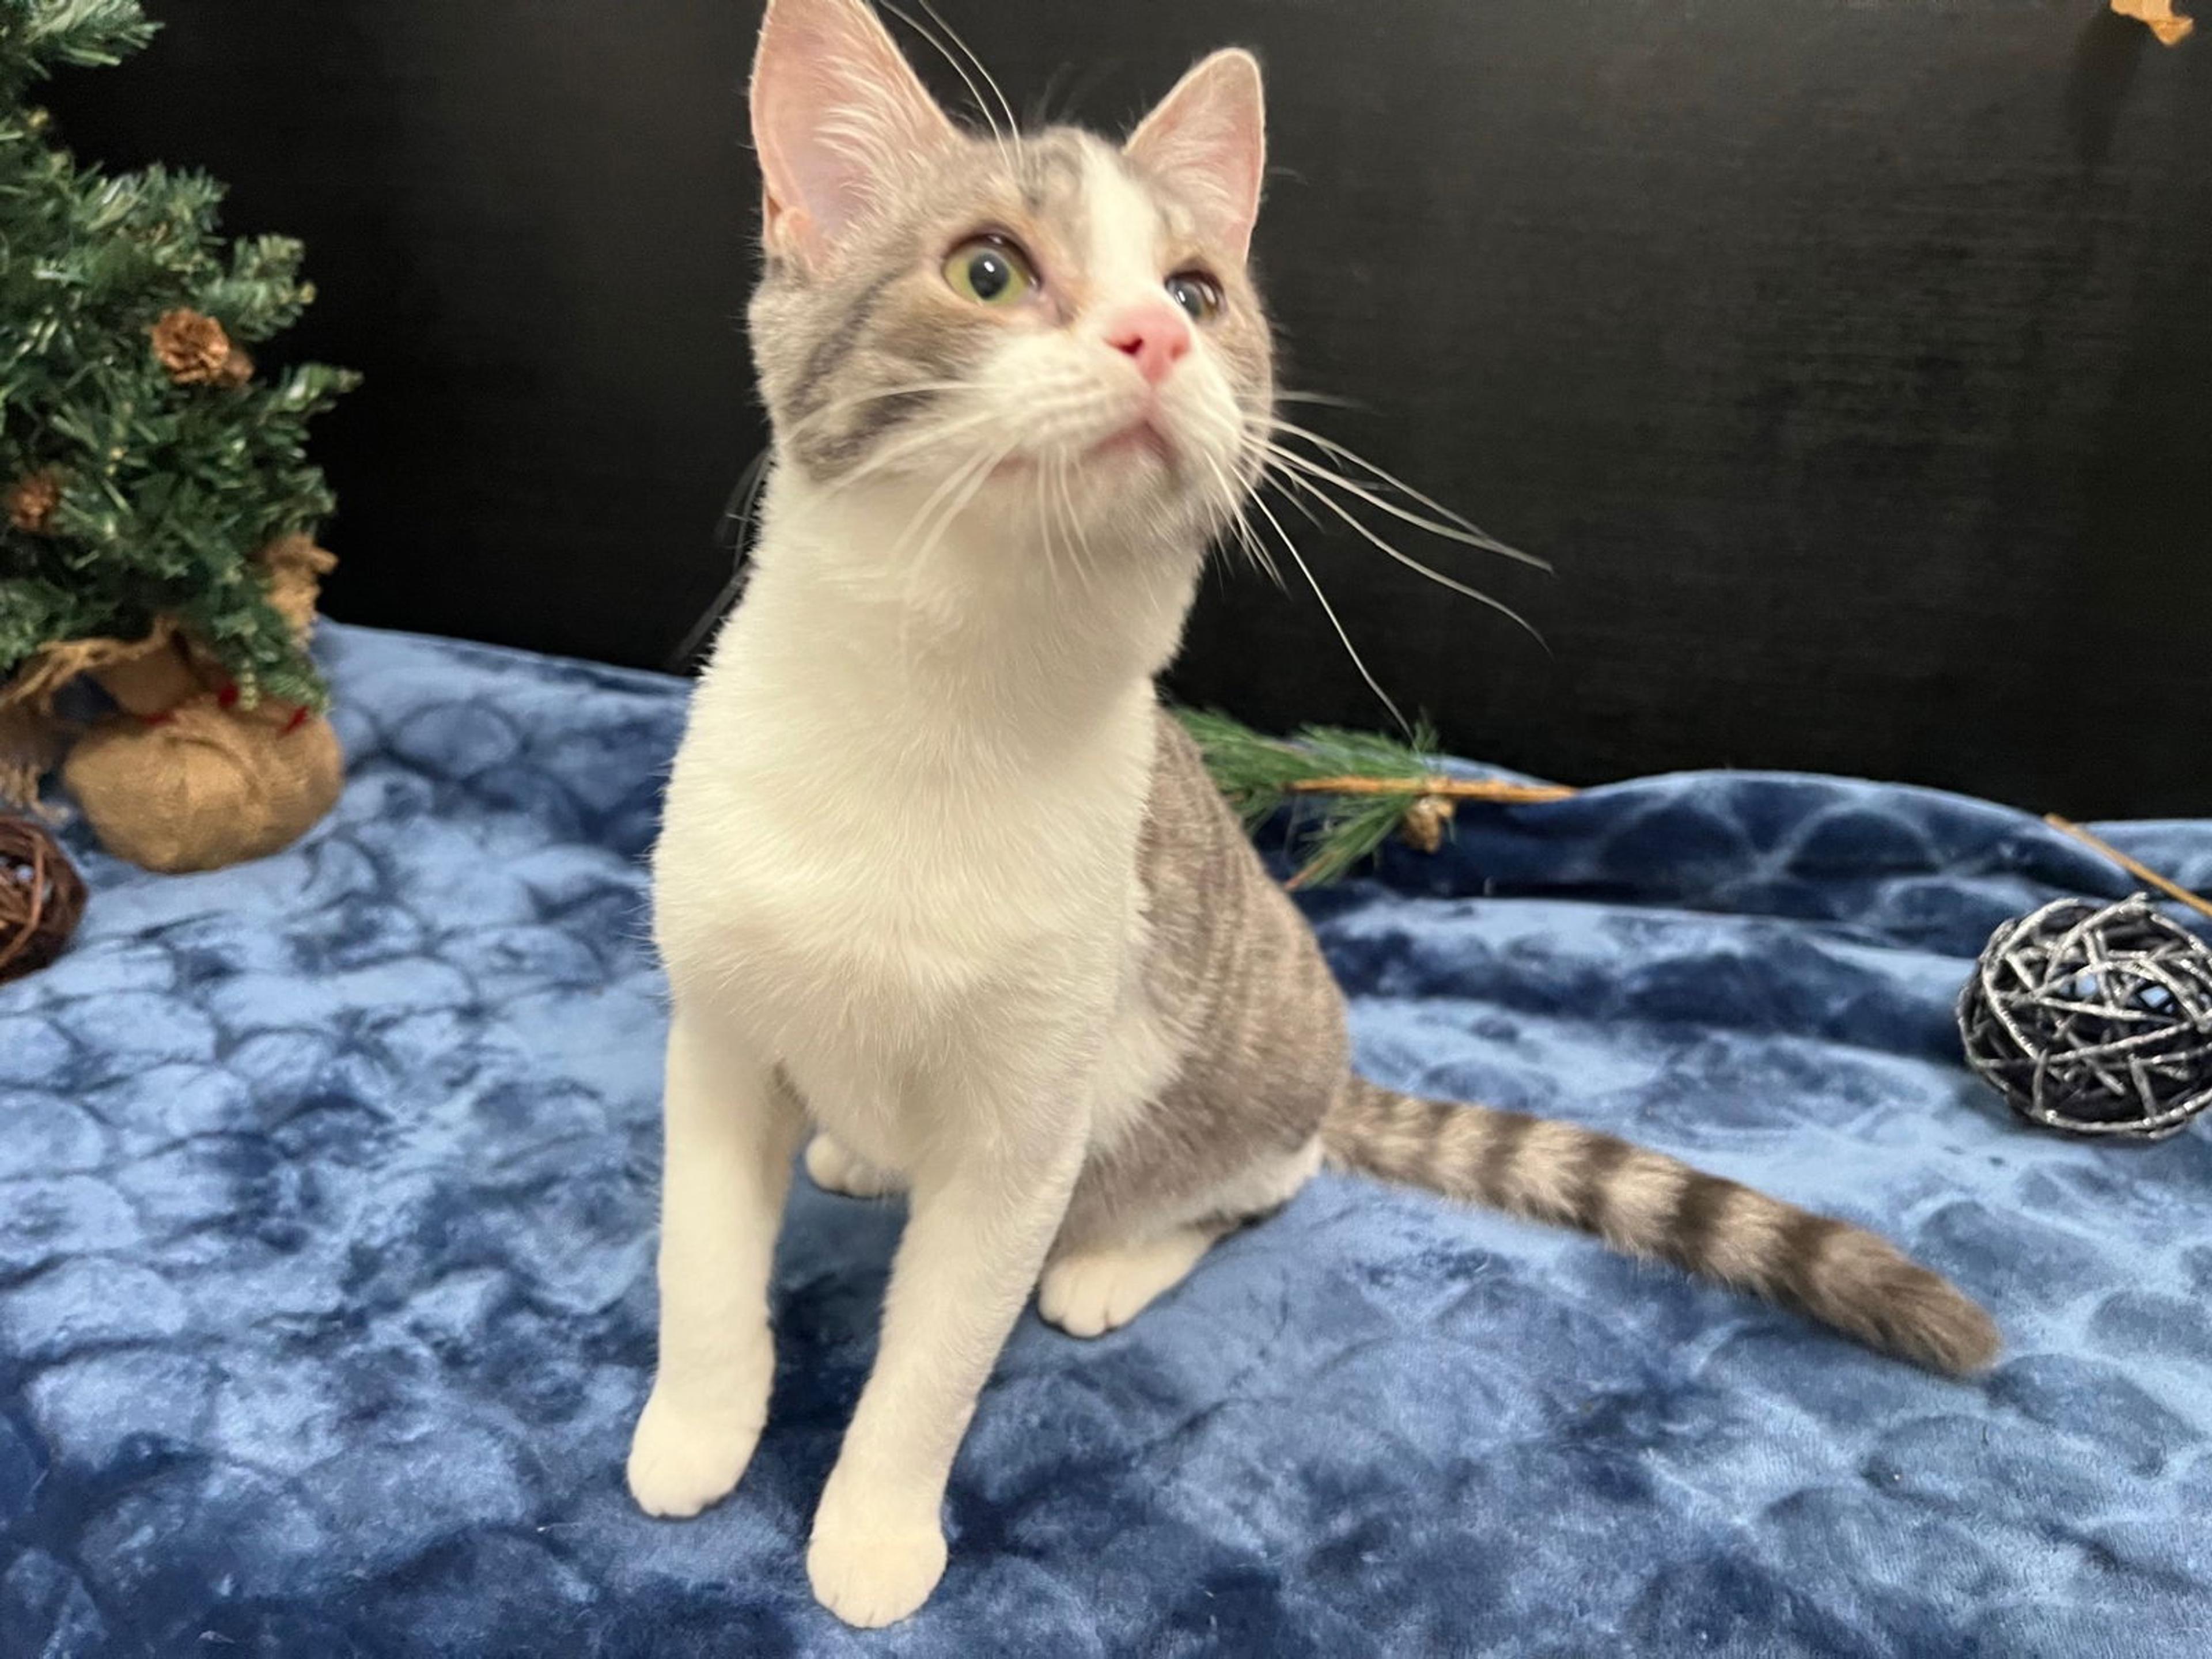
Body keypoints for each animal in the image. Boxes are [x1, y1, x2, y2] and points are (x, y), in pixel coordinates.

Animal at [628, 0, 1999, 1628]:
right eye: (987, 270)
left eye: (1197, 290)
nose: (1155, 335)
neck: (935, 716)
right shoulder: (715, 1035)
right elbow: (705, 1262)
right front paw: (698, 1425)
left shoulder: (1029, 1116)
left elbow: (939, 1348)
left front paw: (875, 1524)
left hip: (1236, 1076)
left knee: (1257, 1177)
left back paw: (1113, 1258)